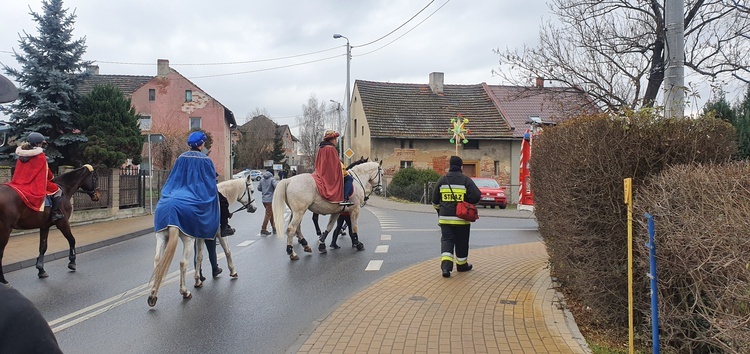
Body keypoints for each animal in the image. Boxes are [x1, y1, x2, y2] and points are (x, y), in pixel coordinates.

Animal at [147, 176, 258, 306]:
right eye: (252, 191)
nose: (254, 208)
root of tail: (171, 210)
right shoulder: (219, 234)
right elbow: (227, 251)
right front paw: (233, 271)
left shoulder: (200, 237)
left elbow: (199, 257)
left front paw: (198, 280)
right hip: (187, 240)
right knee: (183, 263)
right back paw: (184, 292)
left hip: (162, 237)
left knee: (158, 261)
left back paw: (153, 294)